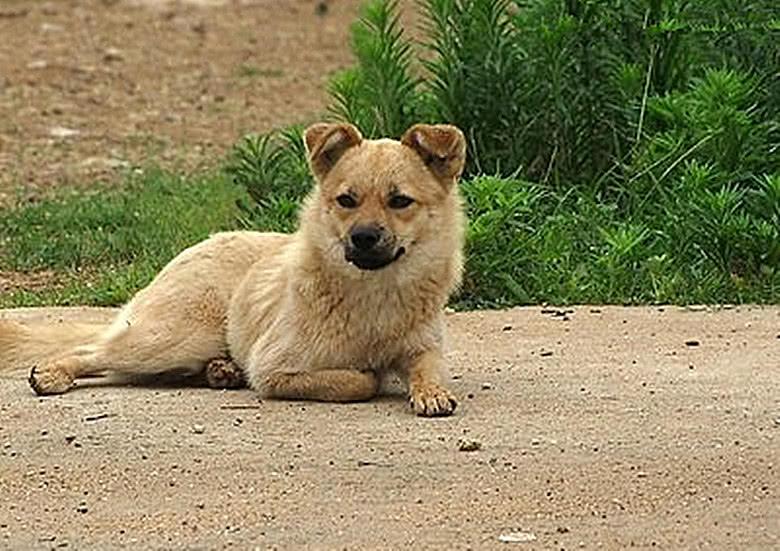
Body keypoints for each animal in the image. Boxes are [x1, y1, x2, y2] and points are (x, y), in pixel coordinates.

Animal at [0, 124, 464, 418]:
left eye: (399, 201)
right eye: (346, 200)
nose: (363, 238)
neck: (375, 292)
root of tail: (204, 241)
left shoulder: (424, 347)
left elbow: (428, 367)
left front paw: (432, 391)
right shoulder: (273, 368)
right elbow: (359, 382)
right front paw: (368, 374)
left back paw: (220, 371)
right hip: (174, 338)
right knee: (94, 352)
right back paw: (53, 373)